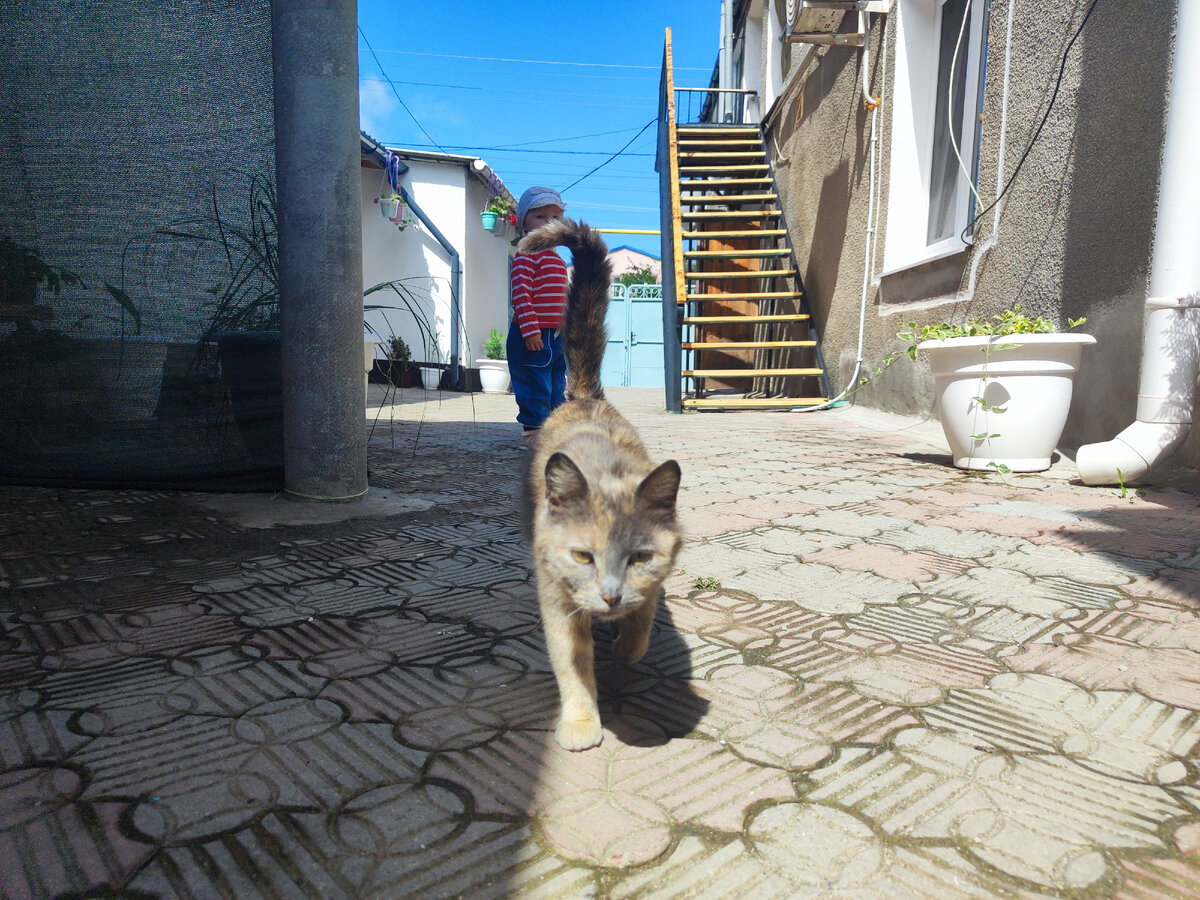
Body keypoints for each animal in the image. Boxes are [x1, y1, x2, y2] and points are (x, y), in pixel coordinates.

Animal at [518, 220, 681, 753]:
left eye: (640, 557)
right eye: (582, 556)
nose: (610, 597)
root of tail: (586, 396)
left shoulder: (653, 583)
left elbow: (642, 621)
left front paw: (627, 644)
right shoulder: (556, 600)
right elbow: (573, 666)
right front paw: (582, 722)